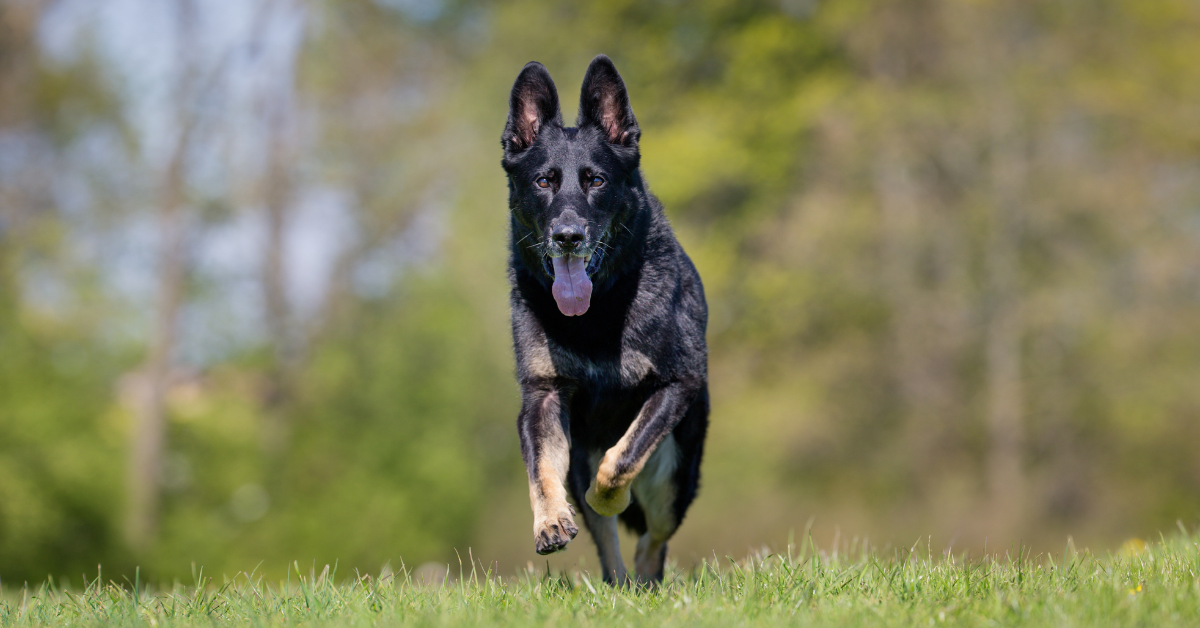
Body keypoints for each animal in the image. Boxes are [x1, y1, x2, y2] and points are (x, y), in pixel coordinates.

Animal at [499, 52, 705, 585]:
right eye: (544, 181)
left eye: (596, 181)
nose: (568, 236)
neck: (595, 315)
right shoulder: (544, 395)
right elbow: (541, 470)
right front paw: (551, 520)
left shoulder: (676, 383)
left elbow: (621, 461)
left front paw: (603, 495)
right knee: (610, 547)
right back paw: (619, 585)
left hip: (677, 476)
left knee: (654, 538)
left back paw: (646, 581)